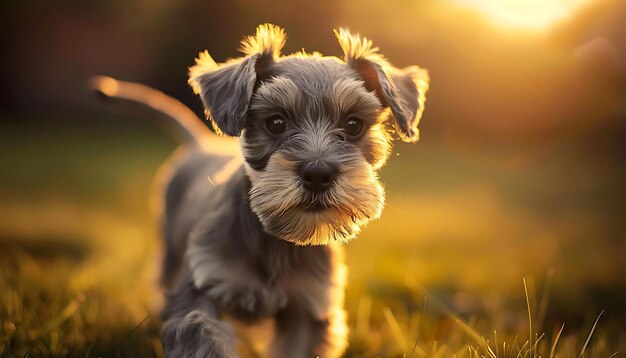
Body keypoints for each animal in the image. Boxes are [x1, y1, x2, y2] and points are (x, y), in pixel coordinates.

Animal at [92, 23, 426, 356]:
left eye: (354, 124)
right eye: (276, 122)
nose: (318, 174)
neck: (276, 241)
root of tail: (199, 142)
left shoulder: (308, 308)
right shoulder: (199, 287)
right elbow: (201, 333)